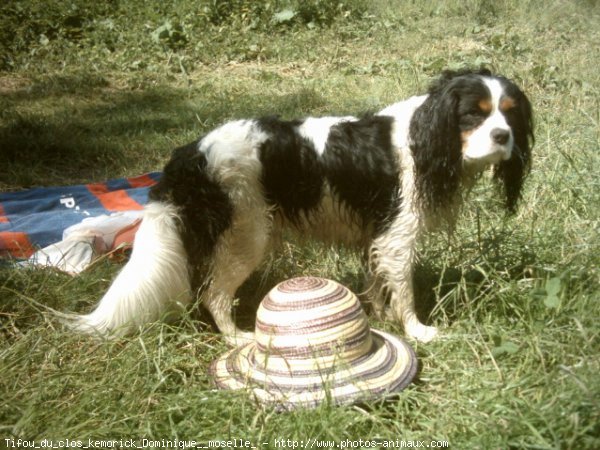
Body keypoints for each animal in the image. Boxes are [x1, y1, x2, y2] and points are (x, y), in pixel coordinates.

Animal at [70, 68, 536, 344]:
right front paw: (417, 330)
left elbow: (378, 284)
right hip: (247, 234)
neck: (425, 134)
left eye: (509, 115)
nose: (503, 137)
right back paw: (236, 337)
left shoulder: (374, 235)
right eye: (474, 115)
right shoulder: (398, 237)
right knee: (214, 294)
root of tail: (191, 154)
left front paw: (381, 317)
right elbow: (404, 290)